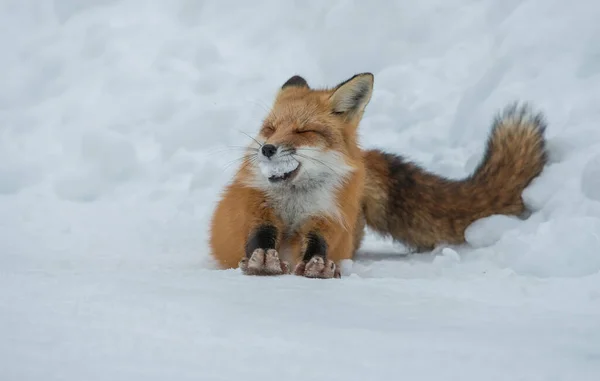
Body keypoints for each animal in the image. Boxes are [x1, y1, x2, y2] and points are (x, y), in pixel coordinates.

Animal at [209, 72, 548, 278]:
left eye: (303, 131)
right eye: (269, 129)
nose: (266, 149)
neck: (296, 201)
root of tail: (365, 157)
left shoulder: (328, 219)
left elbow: (318, 245)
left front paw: (318, 265)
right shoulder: (256, 208)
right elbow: (259, 236)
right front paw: (263, 259)